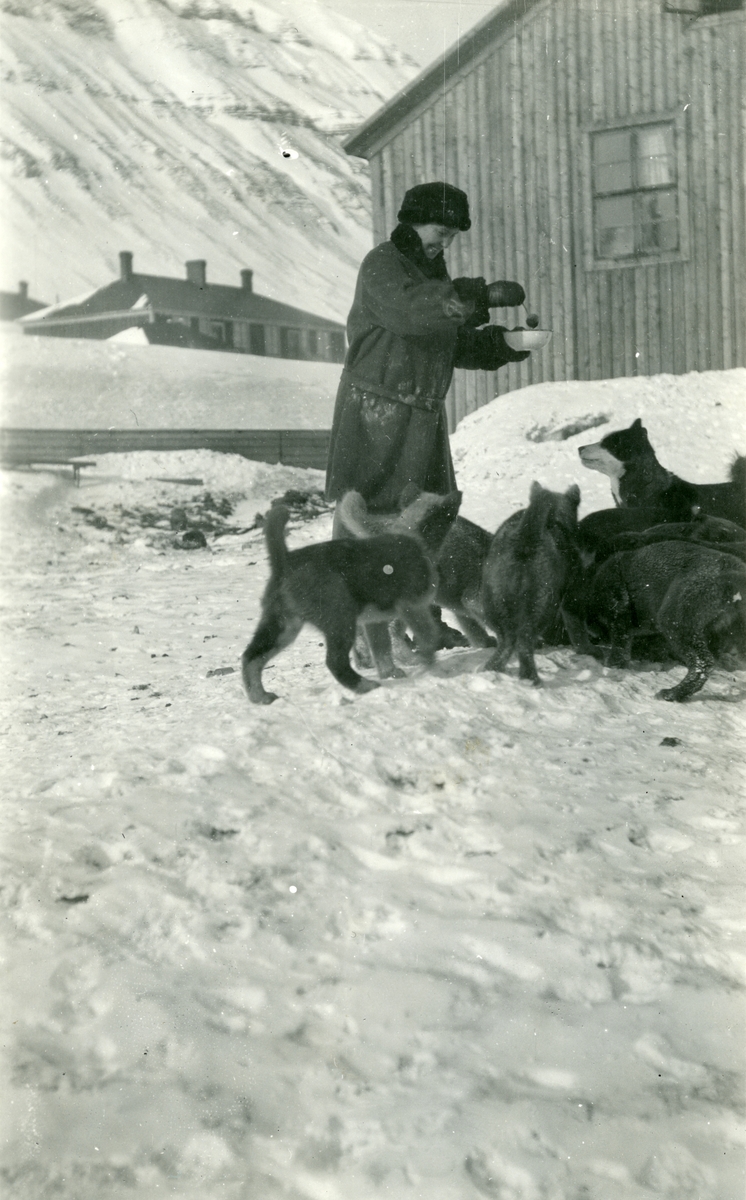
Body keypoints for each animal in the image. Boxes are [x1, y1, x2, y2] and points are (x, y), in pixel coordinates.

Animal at [244, 499, 450, 700]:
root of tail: (284, 562)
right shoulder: (413, 607)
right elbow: (428, 636)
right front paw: (430, 665)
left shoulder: (375, 621)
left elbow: (382, 649)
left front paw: (391, 673)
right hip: (340, 620)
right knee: (334, 662)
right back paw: (365, 686)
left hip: (284, 626)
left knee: (251, 657)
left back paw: (260, 697)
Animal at [479, 480, 585, 686]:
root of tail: (525, 539)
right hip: (542, 603)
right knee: (524, 641)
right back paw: (531, 678)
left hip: (494, 599)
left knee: (507, 640)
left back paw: (493, 668)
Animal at [587, 540, 743, 700]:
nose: (592, 639)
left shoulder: (618, 613)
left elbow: (620, 647)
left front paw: (612, 665)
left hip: (674, 618)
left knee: (704, 662)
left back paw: (672, 693)